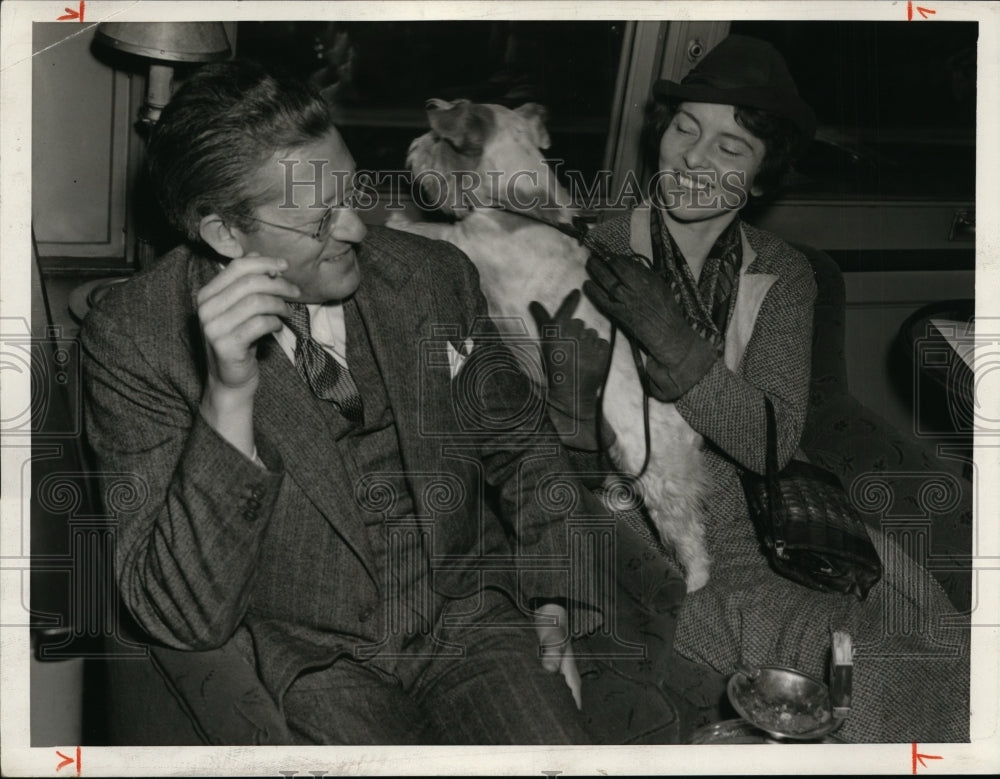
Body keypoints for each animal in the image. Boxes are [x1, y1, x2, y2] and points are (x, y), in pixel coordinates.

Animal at [384, 99, 712, 592]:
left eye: (440, 138)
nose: (413, 147)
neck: (521, 201)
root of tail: (683, 427)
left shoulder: (467, 245)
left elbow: (432, 232)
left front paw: (397, 219)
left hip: (660, 479)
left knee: (690, 539)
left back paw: (694, 581)